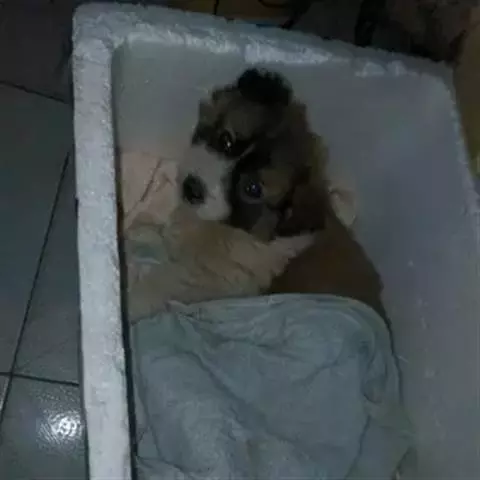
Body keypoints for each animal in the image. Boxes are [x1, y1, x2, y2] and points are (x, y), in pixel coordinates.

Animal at [122, 68, 334, 321]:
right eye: (226, 140)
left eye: (252, 189)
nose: (192, 188)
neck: (228, 227)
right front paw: (144, 234)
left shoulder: (202, 279)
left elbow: (162, 285)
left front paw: (132, 299)